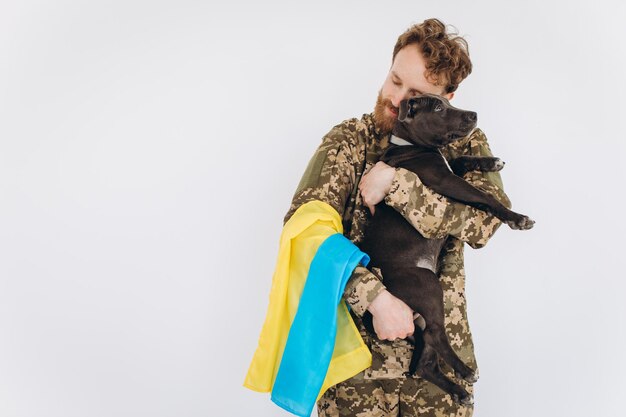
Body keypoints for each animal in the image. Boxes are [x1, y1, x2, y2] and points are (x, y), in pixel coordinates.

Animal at [360, 93, 532, 404]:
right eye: (438, 108)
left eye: (445, 101)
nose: (474, 114)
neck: (410, 144)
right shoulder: (447, 182)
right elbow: (485, 196)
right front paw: (517, 218)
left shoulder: (452, 172)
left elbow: (459, 158)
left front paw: (491, 161)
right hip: (426, 284)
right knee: (437, 334)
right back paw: (466, 372)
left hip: (420, 314)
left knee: (425, 359)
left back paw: (458, 390)